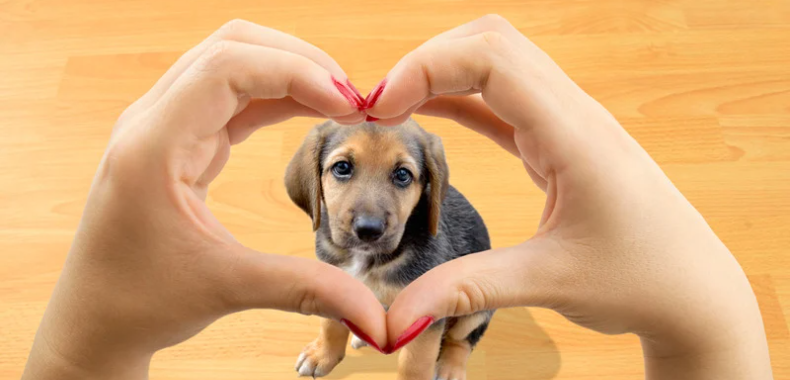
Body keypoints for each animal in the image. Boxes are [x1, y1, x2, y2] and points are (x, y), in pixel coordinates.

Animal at [288, 119, 492, 380]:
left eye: (402, 174)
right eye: (342, 167)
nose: (368, 230)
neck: (366, 258)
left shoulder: (424, 314)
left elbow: (414, 363)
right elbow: (330, 326)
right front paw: (322, 355)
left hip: (475, 309)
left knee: (461, 340)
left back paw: (449, 368)